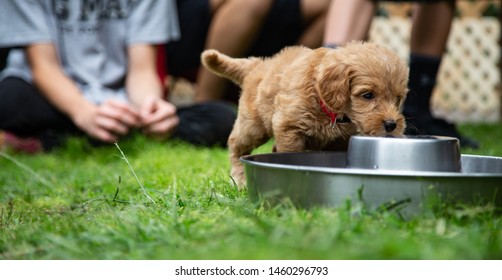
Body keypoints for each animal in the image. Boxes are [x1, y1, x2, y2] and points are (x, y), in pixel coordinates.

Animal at [200, 41, 408, 188]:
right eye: (367, 95)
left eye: (398, 98)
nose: (391, 124)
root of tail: (258, 65)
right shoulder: (288, 126)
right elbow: (290, 153)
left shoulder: (340, 140)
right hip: (252, 126)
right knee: (236, 145)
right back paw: (240, 178)